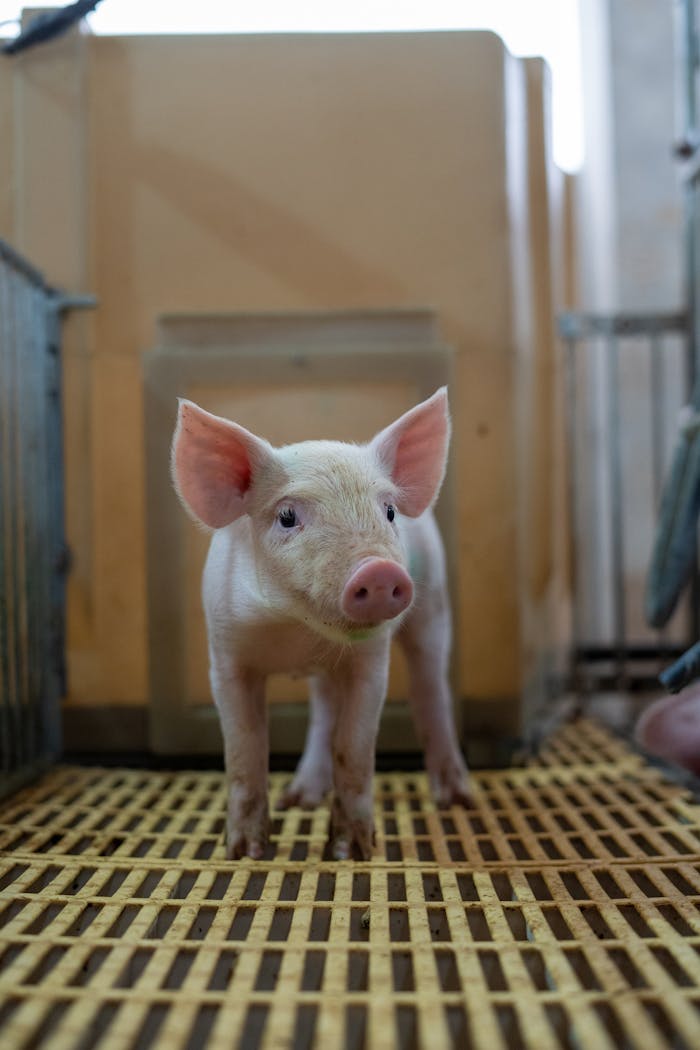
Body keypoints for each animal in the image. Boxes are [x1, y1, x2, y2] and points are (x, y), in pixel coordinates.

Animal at [171, 388, 471, 860]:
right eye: (287, 516)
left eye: (388, 511)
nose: (378, 571)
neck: (297, 631)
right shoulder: (225, 656)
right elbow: (244, 749)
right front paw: (245, 853)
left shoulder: (371, 661)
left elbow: (354, 747)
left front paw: (352, 853)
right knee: (325, 706)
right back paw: (298, 799)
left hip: (436, 604)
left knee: (430, 688)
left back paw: (457, 801)